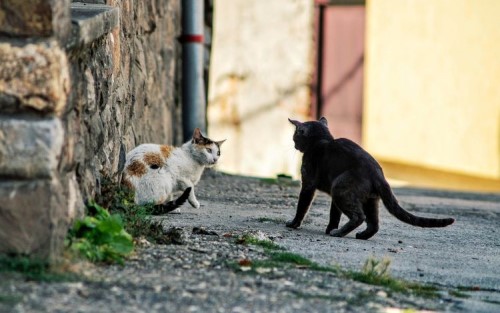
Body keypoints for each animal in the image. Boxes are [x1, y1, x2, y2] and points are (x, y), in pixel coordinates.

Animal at [286, 117, 454, 239]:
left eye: (295, 136)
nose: (294, 145)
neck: (322, 139)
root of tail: (377, 174)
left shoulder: (308, 184)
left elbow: (302, 207)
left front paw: (293, 224)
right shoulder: (332, 197)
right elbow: (334, 214)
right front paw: (330, 228)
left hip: (340, 188)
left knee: (359, 217)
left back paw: (339, 233)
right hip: (370, 199)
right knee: (374, 223)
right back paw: (361, 235)